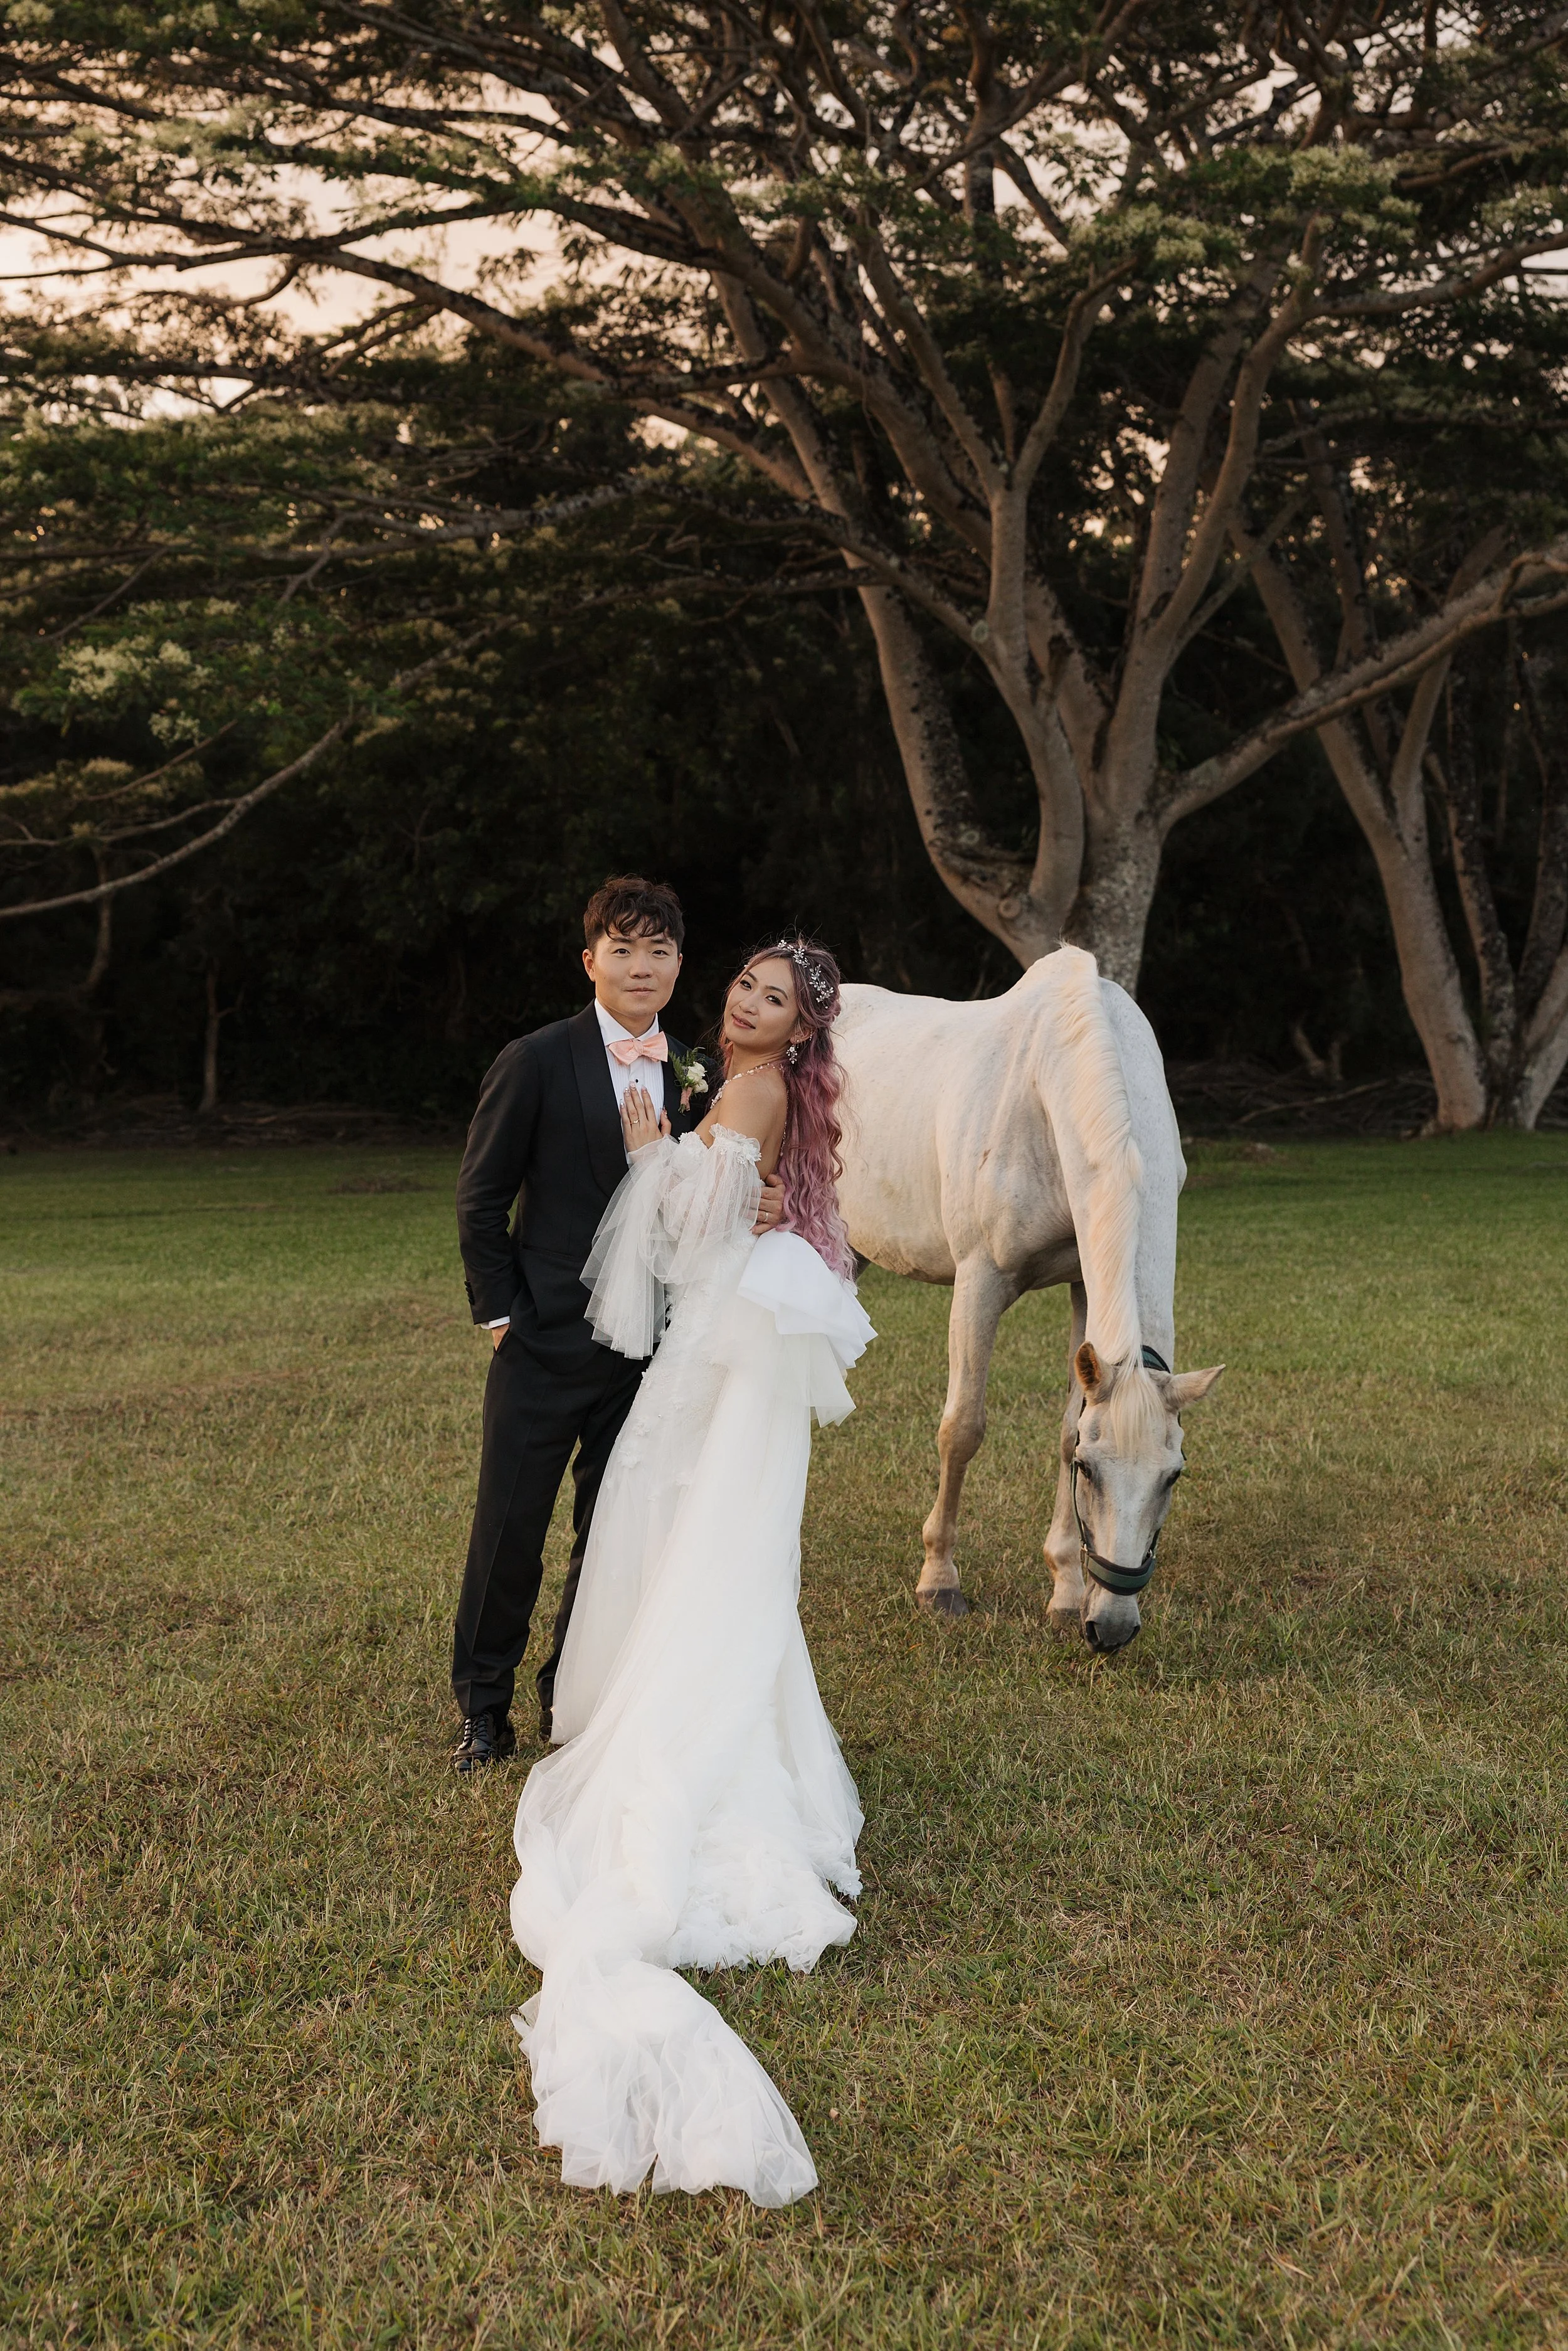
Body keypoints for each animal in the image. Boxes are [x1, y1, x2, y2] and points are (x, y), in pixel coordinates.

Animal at [833, 945, 1223, 1652]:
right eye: (1093, 1472)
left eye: (1173, 1474)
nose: (1112, 1627)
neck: (1047, 1085)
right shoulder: (979, 1282)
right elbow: (961, 1429)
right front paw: (938, 1583)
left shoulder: (1084, 1291)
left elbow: (1065, 1427)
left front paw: (1066, 1593)